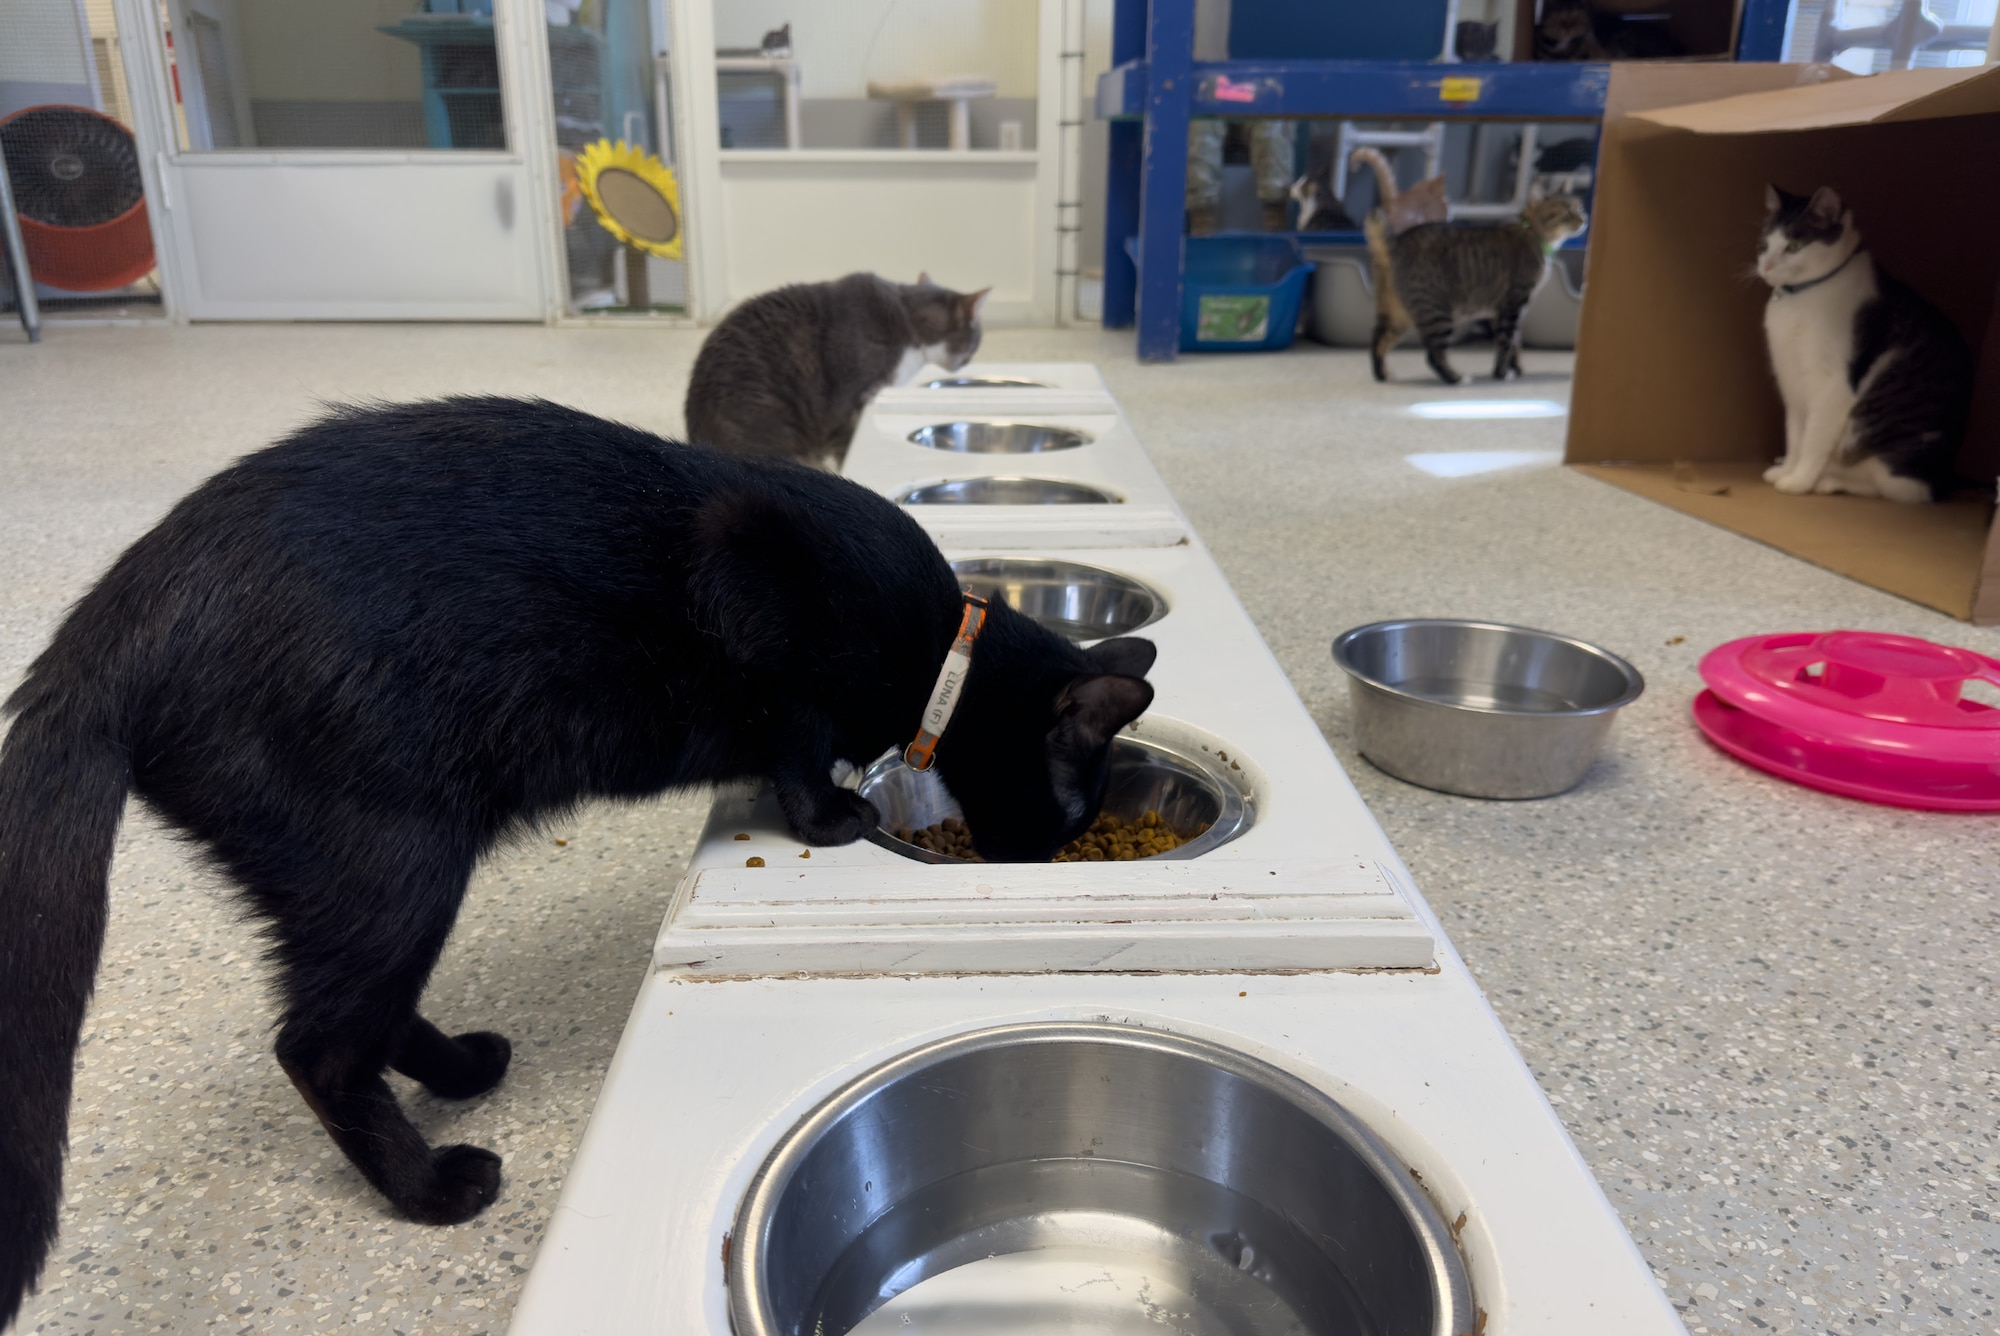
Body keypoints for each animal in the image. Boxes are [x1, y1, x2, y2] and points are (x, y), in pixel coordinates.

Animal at [0, 396, 1160, 1328]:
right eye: (1069, 815)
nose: (1042, 859)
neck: (939, 654)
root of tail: (112, 626)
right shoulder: (751, 573)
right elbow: (794, 720)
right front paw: (827, 809)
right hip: (393, 857)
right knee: (318, 1045)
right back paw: (428, 1189)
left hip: (366, 875)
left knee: (357, 1013)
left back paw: (460, 1072)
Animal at [1368, 196, 1584, 388]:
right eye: (1567, 212)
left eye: (1579, 208)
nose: (1584, 218)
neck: (1530, 231)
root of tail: (1396, 243)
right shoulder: (1514, 304)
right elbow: (1507, 342)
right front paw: (1502, 373)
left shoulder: (1506, 311)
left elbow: (1514, 343)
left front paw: (1516, 368)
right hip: (1436, 313)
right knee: (1434, 354)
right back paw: (1456, 378)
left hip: (1397, 316)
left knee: (1378, 342)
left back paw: (1382, 374)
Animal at [1760, 185, 1976, 504]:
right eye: (1765, 245)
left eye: (1794, 246)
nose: (1766, 266)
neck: (1800, 297)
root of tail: (1946, 476)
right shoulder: (1792, 384)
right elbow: (1795, 434)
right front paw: (1786, 469)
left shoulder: (1832, 386)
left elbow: (1812, 439)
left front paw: (1798, 481)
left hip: (1885, 445)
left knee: (1901, 490)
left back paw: (1828, 481)